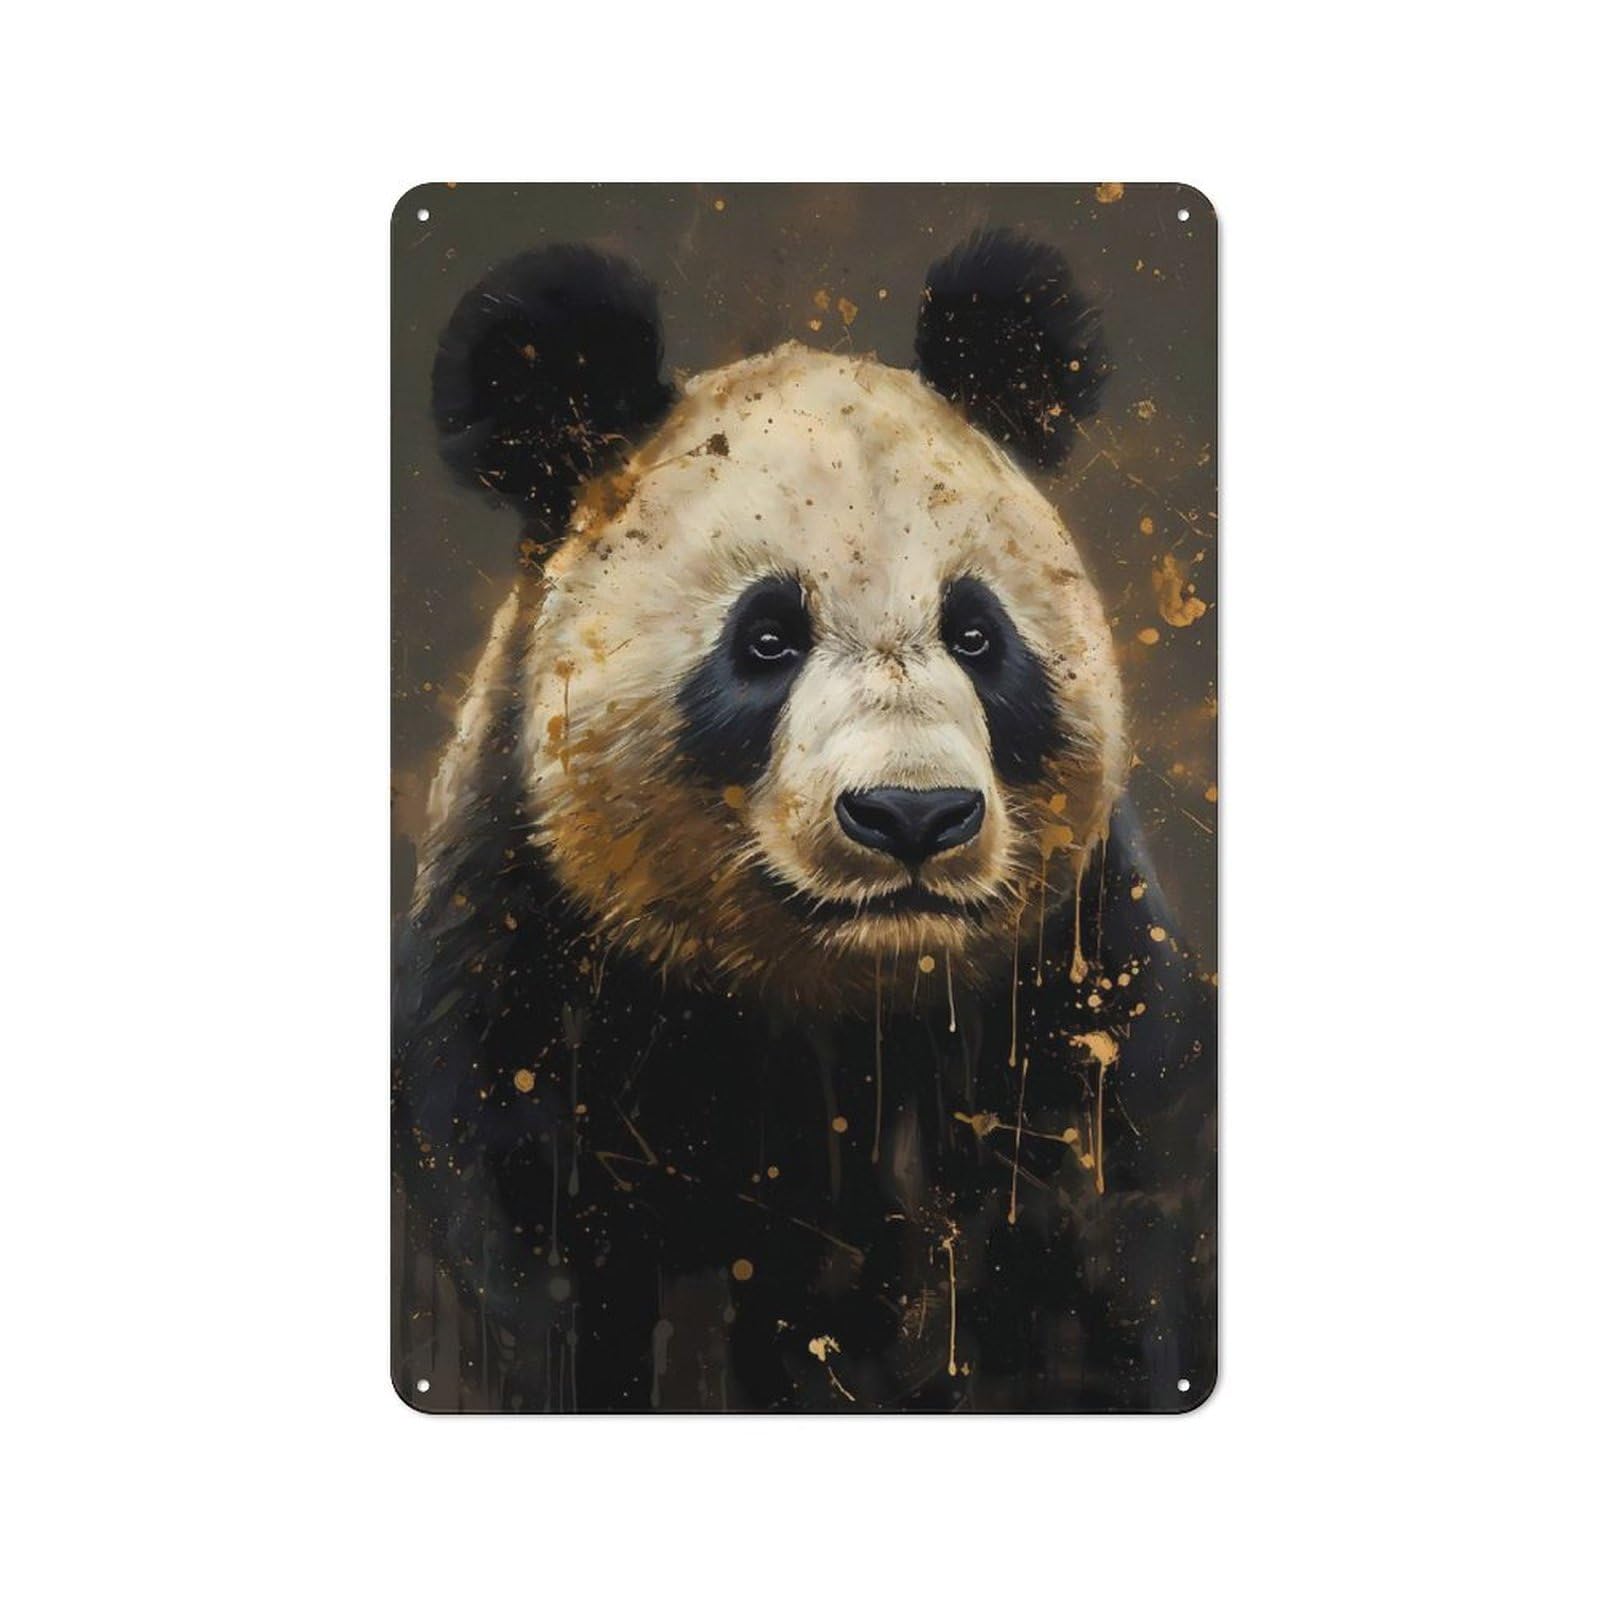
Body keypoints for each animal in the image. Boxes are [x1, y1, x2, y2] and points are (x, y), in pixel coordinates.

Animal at [394, 231, 1216, 1413]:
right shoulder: (526, 991)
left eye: (978, 635)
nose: (913, 814)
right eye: (767, 639)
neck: (842, 1013)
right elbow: (537, 1280)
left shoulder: (1084, 1006)